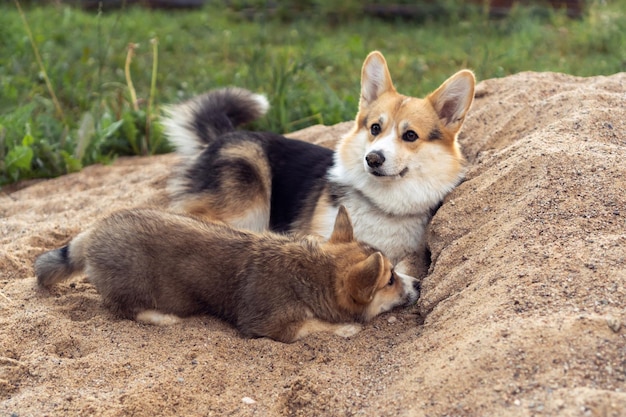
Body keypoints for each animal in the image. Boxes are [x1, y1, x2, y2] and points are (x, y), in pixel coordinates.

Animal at [33, 206, 414, 342]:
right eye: (389, 280)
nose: (418, 284)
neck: (311, 271)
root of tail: (91, 233)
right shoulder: (268, 327)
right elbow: (314, 325)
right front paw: (345, 328)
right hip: (135, 287)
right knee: (124, 309)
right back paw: (162, 317)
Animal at [161, 49, 472, 276]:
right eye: (375, 128)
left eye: (410, 135)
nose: (372, 159)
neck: (381, 203)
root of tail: (222, 135)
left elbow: (408, 268)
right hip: (249, 201)